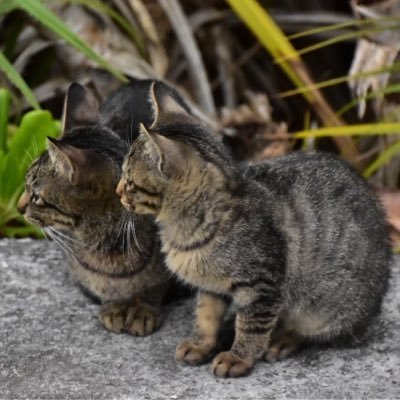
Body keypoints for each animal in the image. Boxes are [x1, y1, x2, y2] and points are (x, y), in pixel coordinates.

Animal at [17, 82, 181, 338]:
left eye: (35, 197)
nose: (19, 206)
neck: (106, 247)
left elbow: (153, 287)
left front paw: (143, 310)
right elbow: (106, 288)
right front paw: (115, 306)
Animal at [115, 83, 390, 376]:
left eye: (129, 181)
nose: (117, 191)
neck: (184, 229)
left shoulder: (262, 285)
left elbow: (251, 327)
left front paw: (237, 358)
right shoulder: (211, 286)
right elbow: (206, 315)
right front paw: (201, 344)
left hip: (324, 309)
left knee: (315, 331)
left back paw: (281, 339)